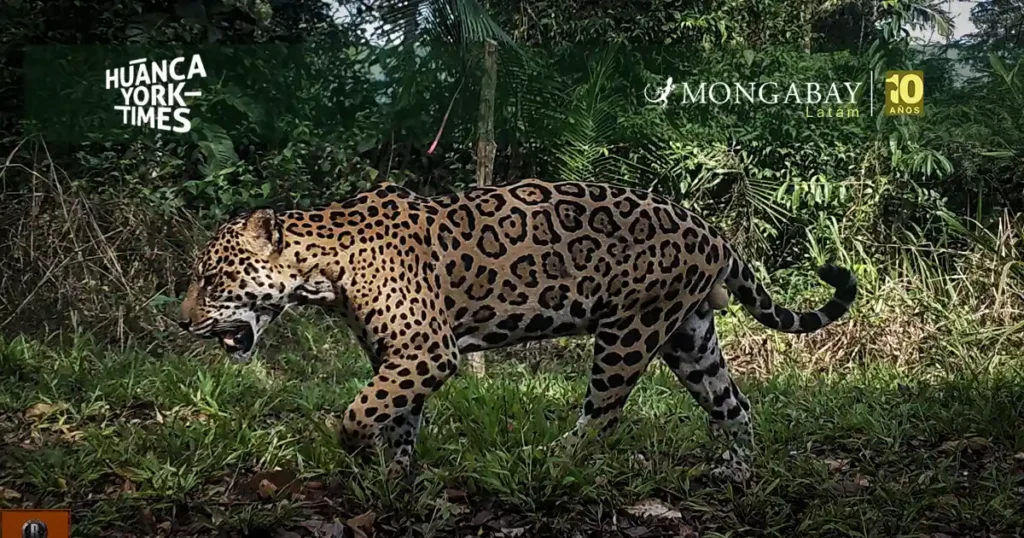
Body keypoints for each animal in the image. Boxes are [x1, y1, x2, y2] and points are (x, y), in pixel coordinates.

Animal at [178, 179, 857, 482]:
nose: (181, 322)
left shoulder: (428, 350)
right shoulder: (398, 356)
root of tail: (711, 232)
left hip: (629, 331)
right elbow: (395, 415)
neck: (322, 267)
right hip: (689, 335)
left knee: (603, 416)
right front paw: (396, 478)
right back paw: (734, 473)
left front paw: (356, 451)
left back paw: (547, 461)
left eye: (211, 279)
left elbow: (358, 412)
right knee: (733, 403)